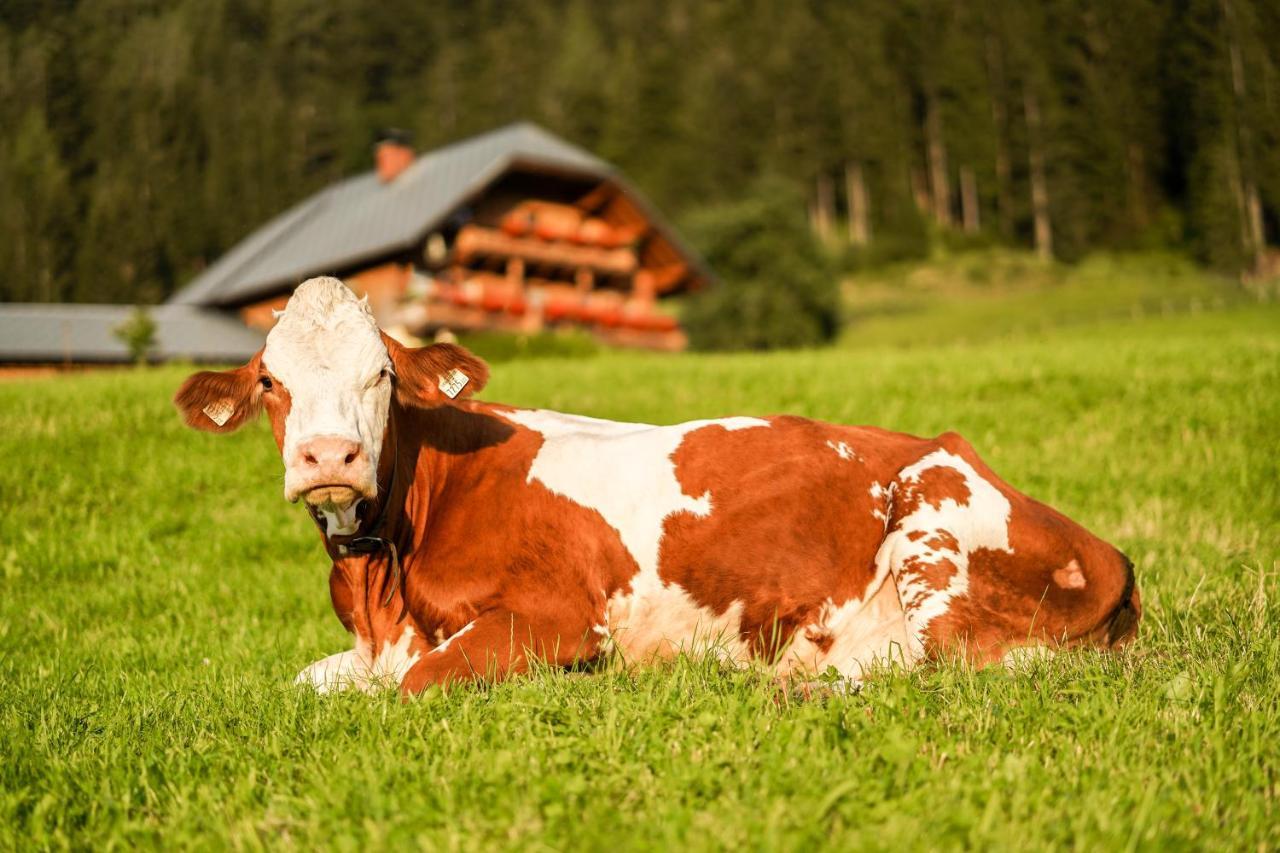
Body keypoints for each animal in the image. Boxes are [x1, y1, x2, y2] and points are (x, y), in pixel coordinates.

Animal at [172, 277, 1141, 691]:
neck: (385, 593)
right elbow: (306, 683)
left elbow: (414, 688)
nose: (329, 457)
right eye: (270, 380)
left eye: (380, 374)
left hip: (935, 525)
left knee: (957, 671)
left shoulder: (558, 616)